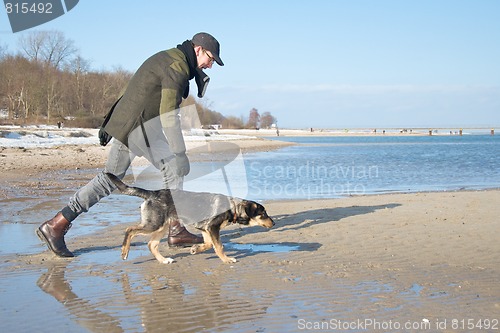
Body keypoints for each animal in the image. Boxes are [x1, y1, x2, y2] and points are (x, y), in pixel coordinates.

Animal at [107, 172, 276, 264]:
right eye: (263, 213)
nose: (273, 223)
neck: (232, 207)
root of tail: (152, 193)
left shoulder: (205, 228)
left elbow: (209, 244)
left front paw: (195, 249)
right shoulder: (212, 227)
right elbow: (219, 246)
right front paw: (227, 259)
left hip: (162, 226)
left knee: (151, 244)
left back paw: (163, 260)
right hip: (154, 223)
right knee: (130, 230)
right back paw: (124, 251)